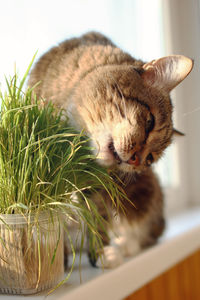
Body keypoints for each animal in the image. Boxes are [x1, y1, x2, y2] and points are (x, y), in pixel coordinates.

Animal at [27, 31, 193, 268]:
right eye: (150, 122)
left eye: (150, 159)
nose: (135, 160)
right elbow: (55, 216)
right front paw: (60, 258)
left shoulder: (96, 182)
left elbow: (97, 215)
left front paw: (101, 251)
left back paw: (123, 245)